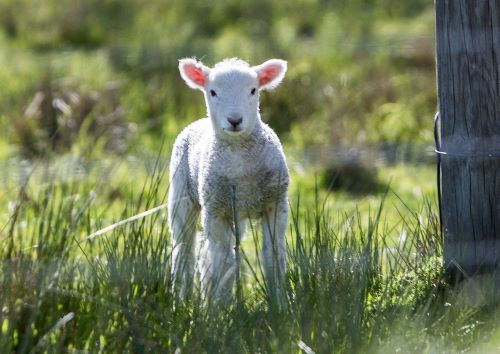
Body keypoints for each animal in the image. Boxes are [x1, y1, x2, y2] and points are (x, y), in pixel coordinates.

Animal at [169, 56, 290, 306]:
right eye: (213, 92)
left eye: (253, 90)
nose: (235, 120)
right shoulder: (216, 211)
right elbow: (223, 263)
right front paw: (221, 309)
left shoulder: (276, 204)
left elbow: (273, 256)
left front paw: (279, 304)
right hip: (182, 196)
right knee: (184, 251)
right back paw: (181, 301)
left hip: (237, 213)